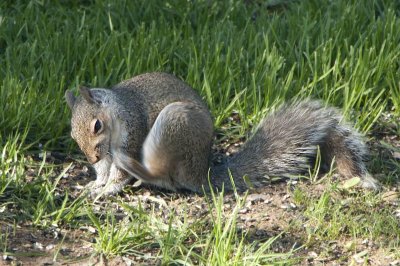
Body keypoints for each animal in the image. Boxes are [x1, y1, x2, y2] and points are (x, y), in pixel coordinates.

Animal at [64, 71, 380, 196]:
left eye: (96, 125)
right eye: (72, 136)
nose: (91, 158)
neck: (117, 112)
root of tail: (200, 172)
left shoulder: (131, 132)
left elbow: (117, 175)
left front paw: (107, 189)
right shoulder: (104, 155)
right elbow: (104, 171)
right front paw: (95, 184)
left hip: (173, 125)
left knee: (165, 177)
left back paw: (140, 170)